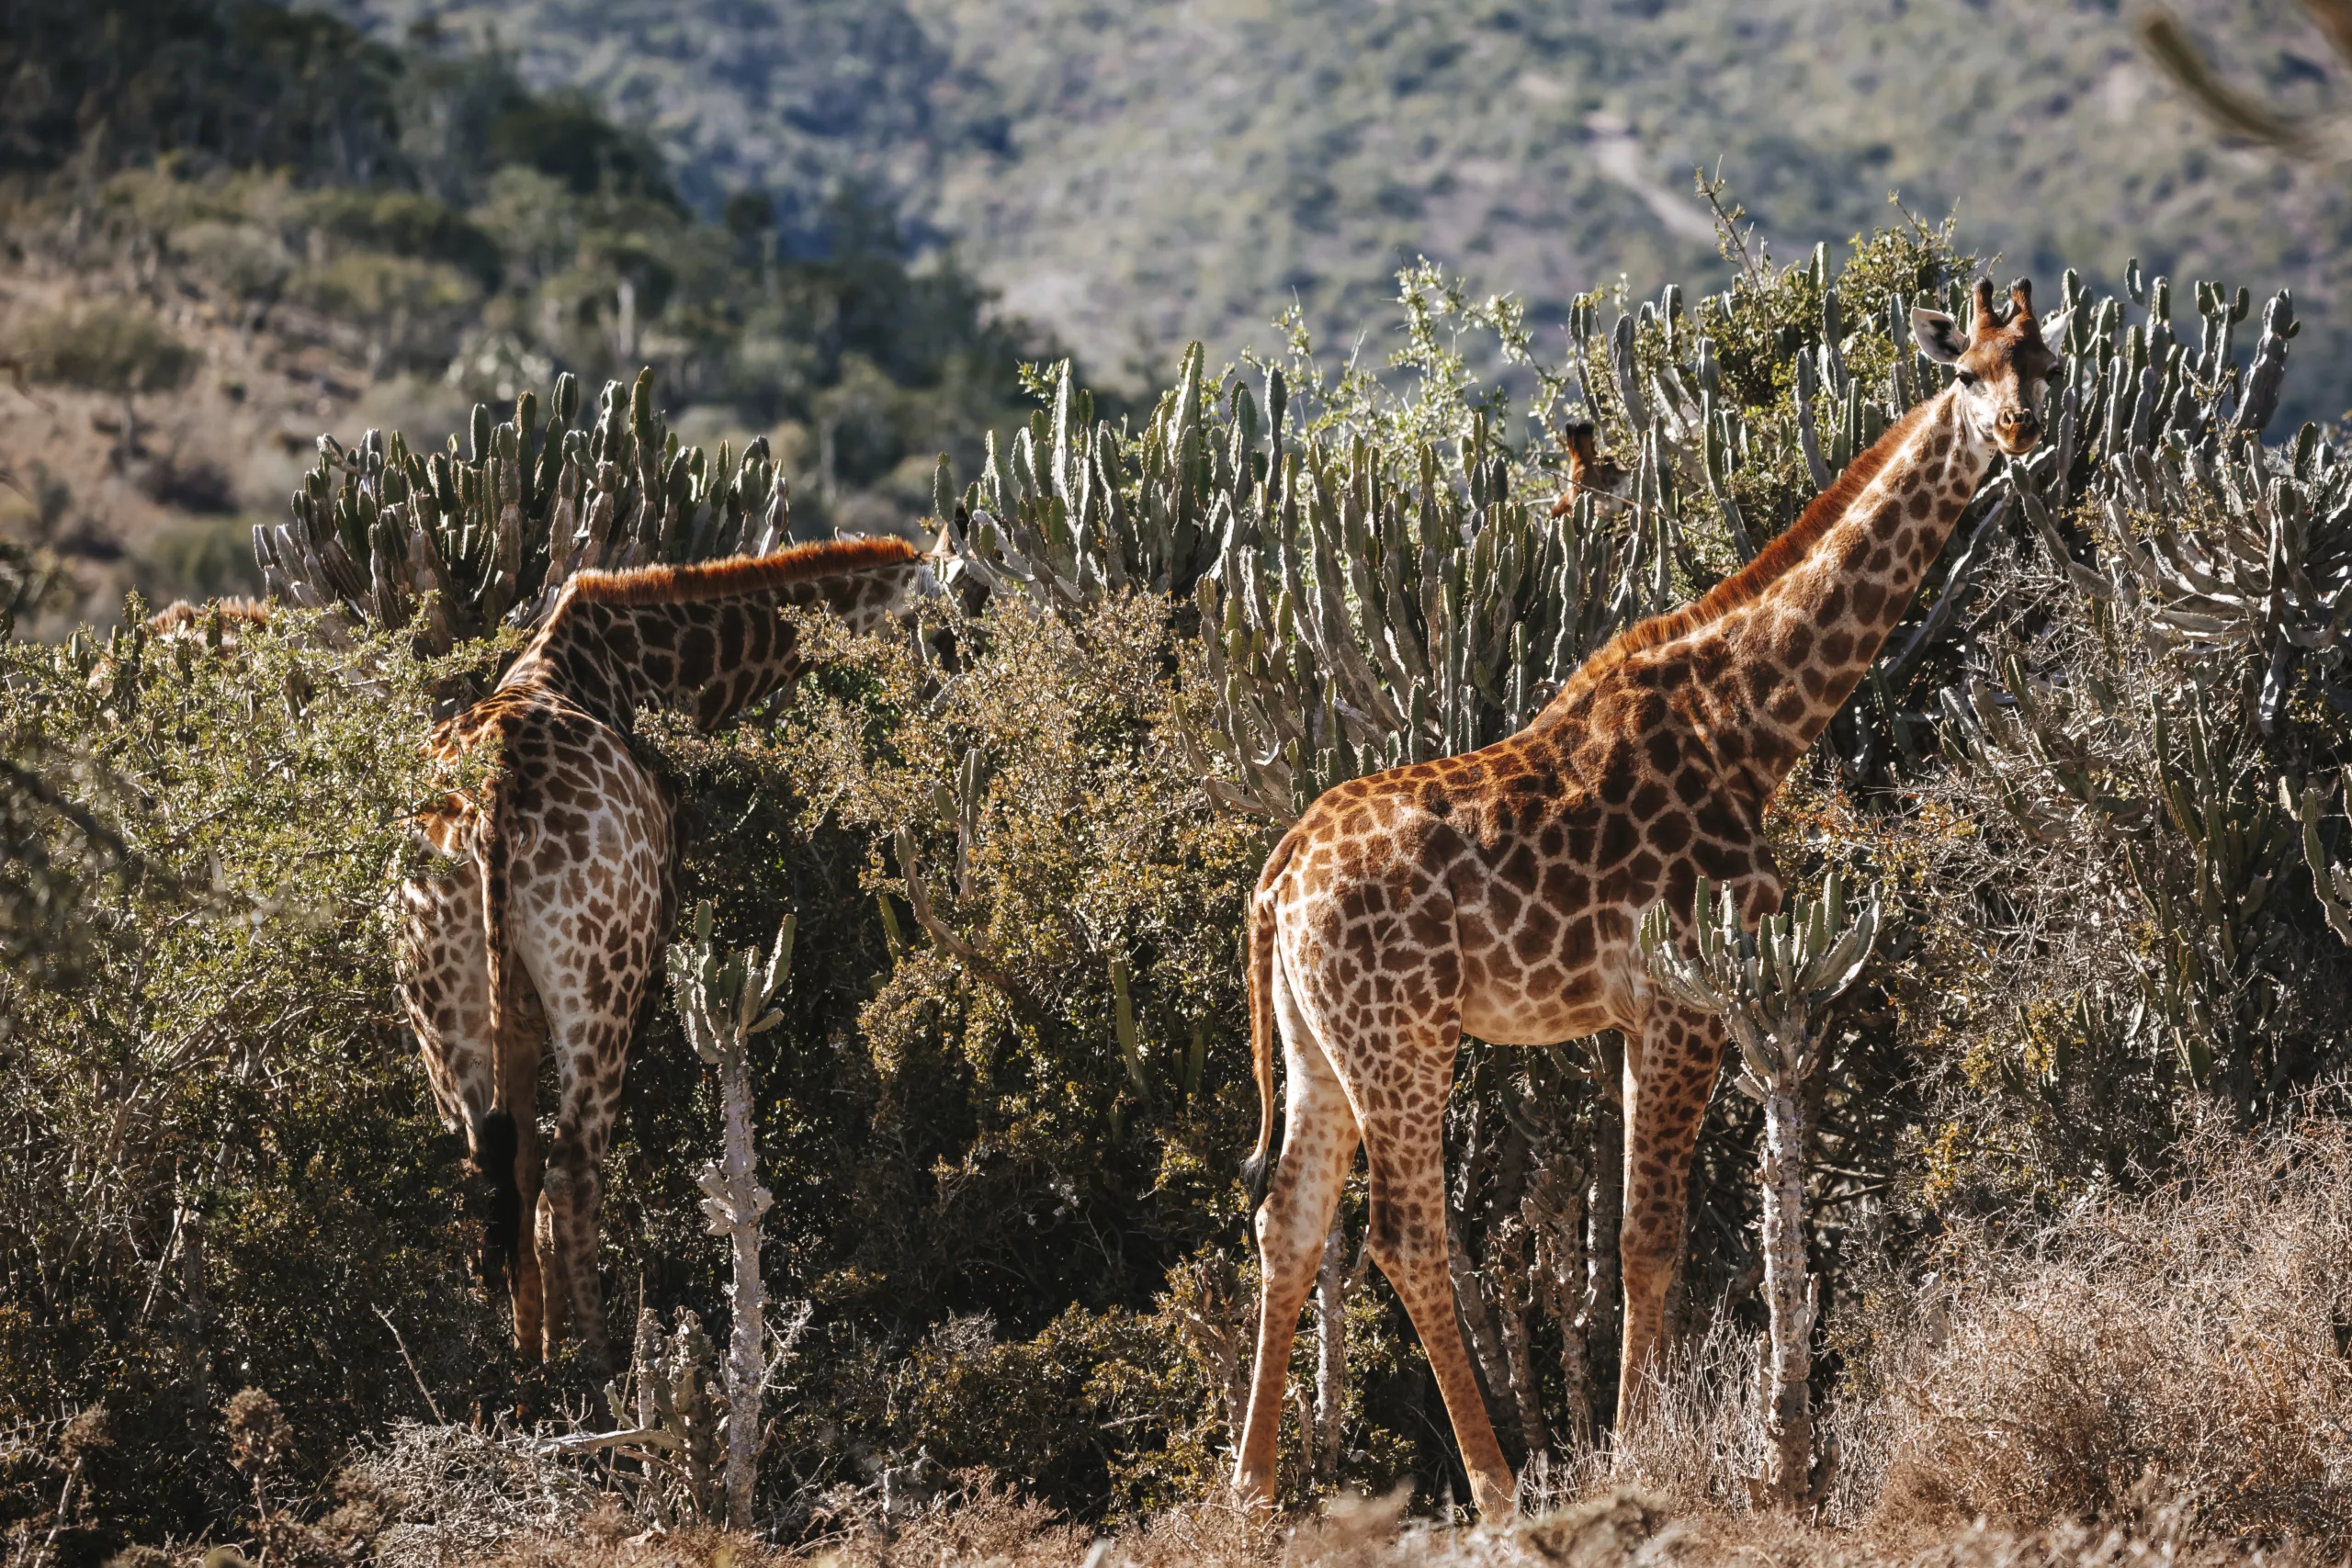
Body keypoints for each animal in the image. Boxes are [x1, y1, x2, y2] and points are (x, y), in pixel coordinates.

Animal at [396, 536, 925, 1368]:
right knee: (574, 1169)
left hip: (440, 999)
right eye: (945, 615)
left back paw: (520, 1369)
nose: (942, 690)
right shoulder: (647, 971)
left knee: (489, 1164)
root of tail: (492, 801)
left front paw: (536, 1346)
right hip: (601, 985)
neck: (647, 668)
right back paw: (607, 1368)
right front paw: (564, 1349)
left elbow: (519, 1165)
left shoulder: (516, 1017)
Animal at [1231, 279, 2067, 1515]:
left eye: (2041, 367)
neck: (1754, 718)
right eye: (1963, 371)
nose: (2016, 430)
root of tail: (1279, 877)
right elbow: (1652, 1239)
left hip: (1314, 1039)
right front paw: (1637, 1461)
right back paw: (1497, 1492)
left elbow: (1639, 1236)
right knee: (1405, 1237)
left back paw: (1250, 1491)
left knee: (1287, 1218)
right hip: (1403, 1037)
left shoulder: (1640, 1014)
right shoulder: (1689, 1002)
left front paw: (1641, 1445)